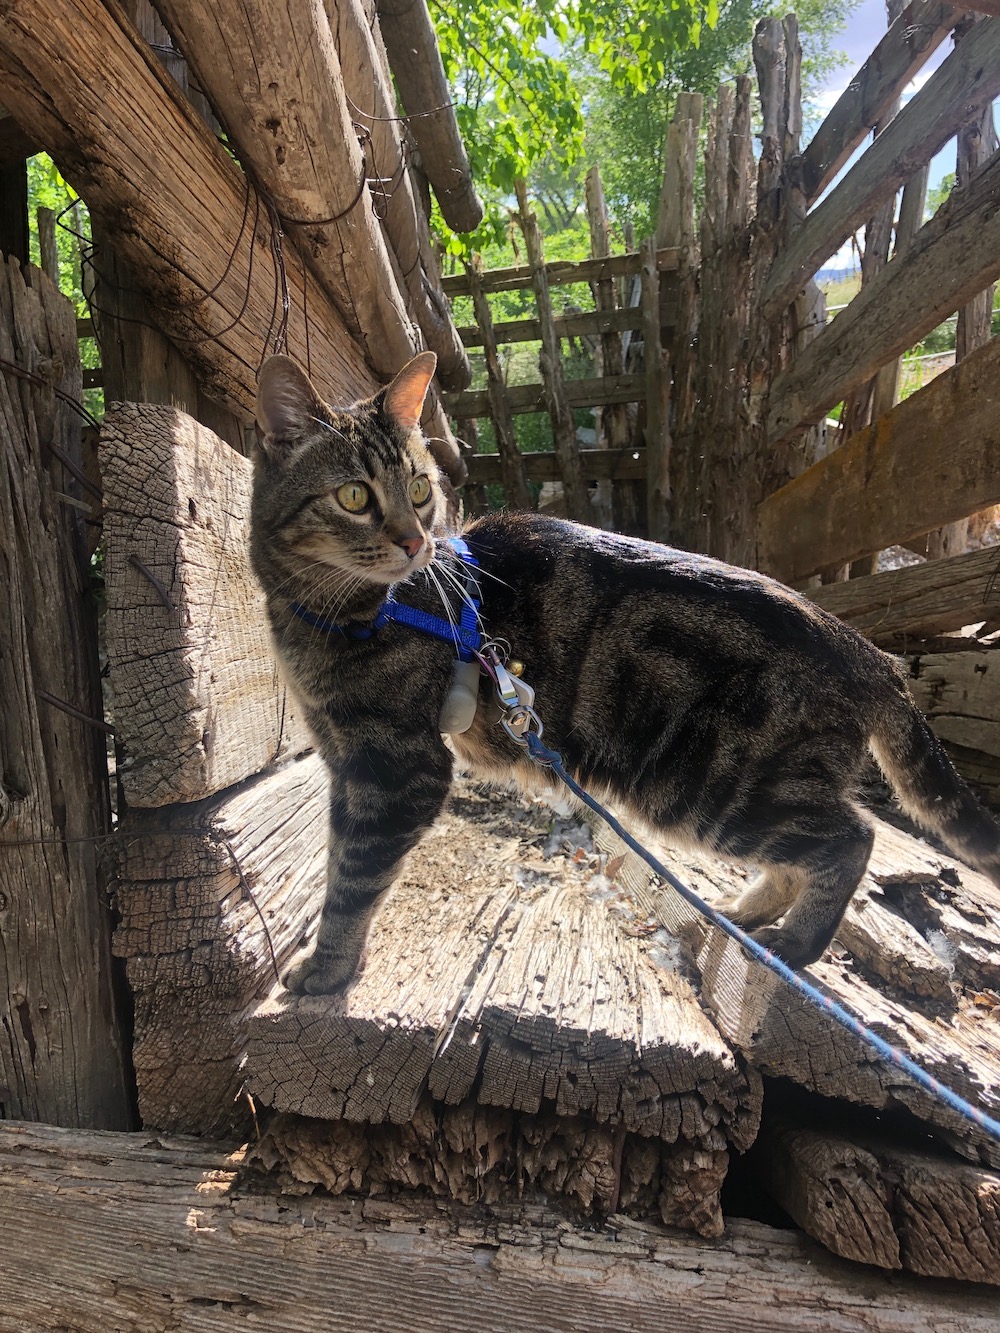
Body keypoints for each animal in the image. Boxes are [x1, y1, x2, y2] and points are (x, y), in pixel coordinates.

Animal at [250, 351, 1000, 994]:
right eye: (354, 496)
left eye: (417, 487)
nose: (415, 542)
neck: (327, 617)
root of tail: (865, 649)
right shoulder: (345, 757)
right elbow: (339, 863)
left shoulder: (395, 767)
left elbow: (353, 879)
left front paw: (326, 970)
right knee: (810, 850)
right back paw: (751, 912)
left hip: (711, 784)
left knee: (852, 837)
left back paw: (797, 943)